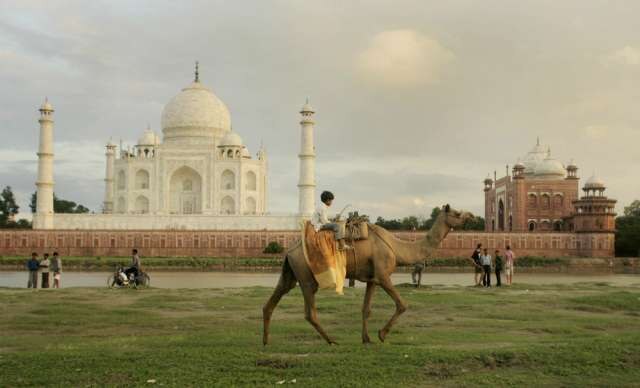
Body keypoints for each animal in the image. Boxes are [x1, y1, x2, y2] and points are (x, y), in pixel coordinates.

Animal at [262, 205, 470, 344]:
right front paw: (381, 335)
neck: (397, 247)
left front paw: (367, 338)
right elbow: (402, 304)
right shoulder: (383, 275)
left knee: (275, 297)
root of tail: (289, 250)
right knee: (309, 312)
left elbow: (366, 309)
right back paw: (331, 340)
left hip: (291, 271)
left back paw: (265, 341)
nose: (470, 215)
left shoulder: (372, 279)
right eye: (457, 213)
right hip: (306, 276)